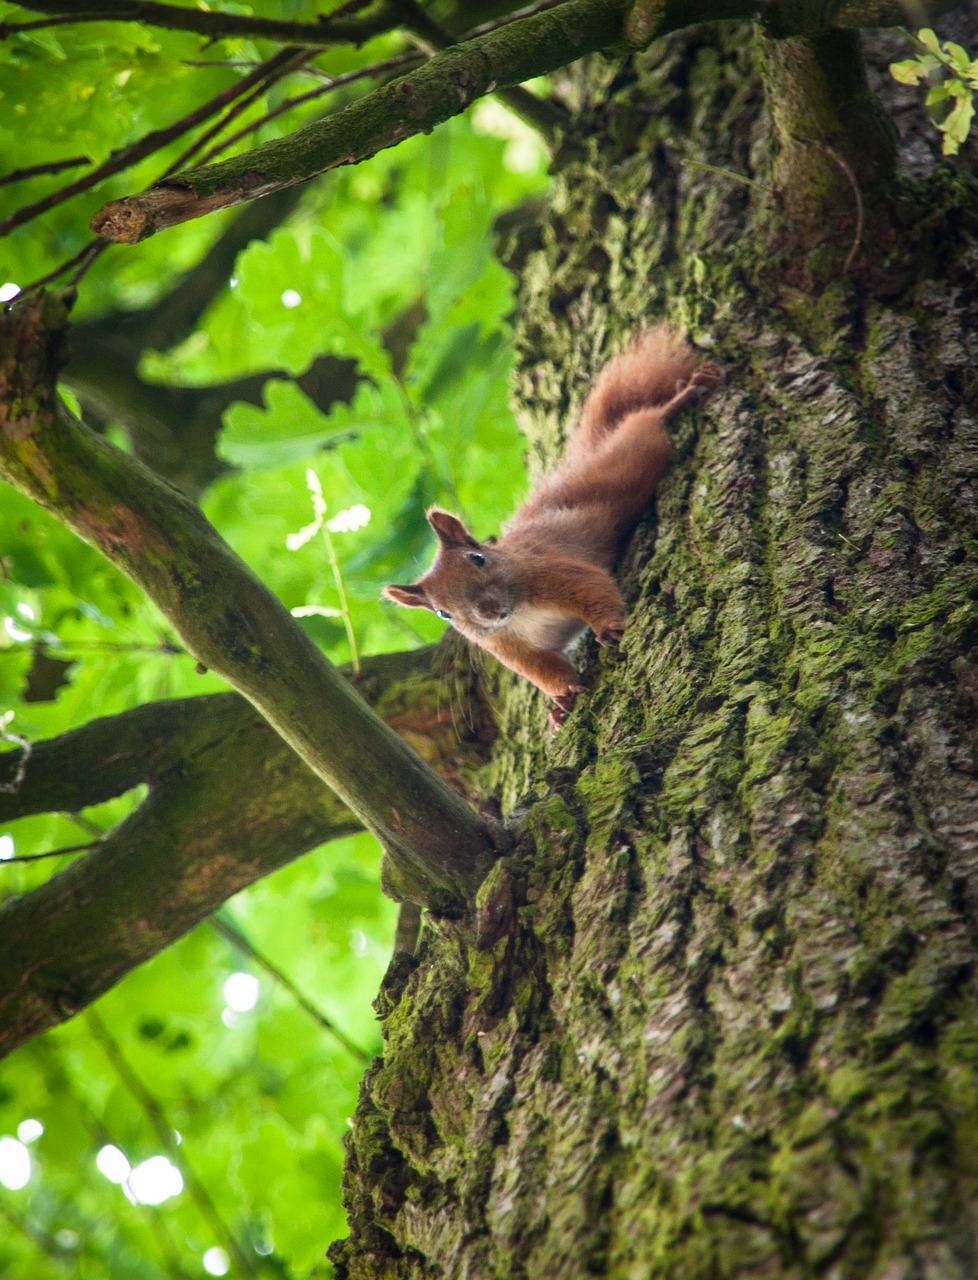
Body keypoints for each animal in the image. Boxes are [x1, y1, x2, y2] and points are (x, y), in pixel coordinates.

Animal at [384, 327, 716, 732]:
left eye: (478, 558)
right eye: (443, 614)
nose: (489, 611)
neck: (519, 612)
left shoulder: (550, 572)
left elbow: (593, 587)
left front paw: (609, 628)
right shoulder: (510, 648)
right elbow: (546, 670)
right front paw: (564, 700)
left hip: (635, 452)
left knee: (647, 420)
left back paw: (686, 393)